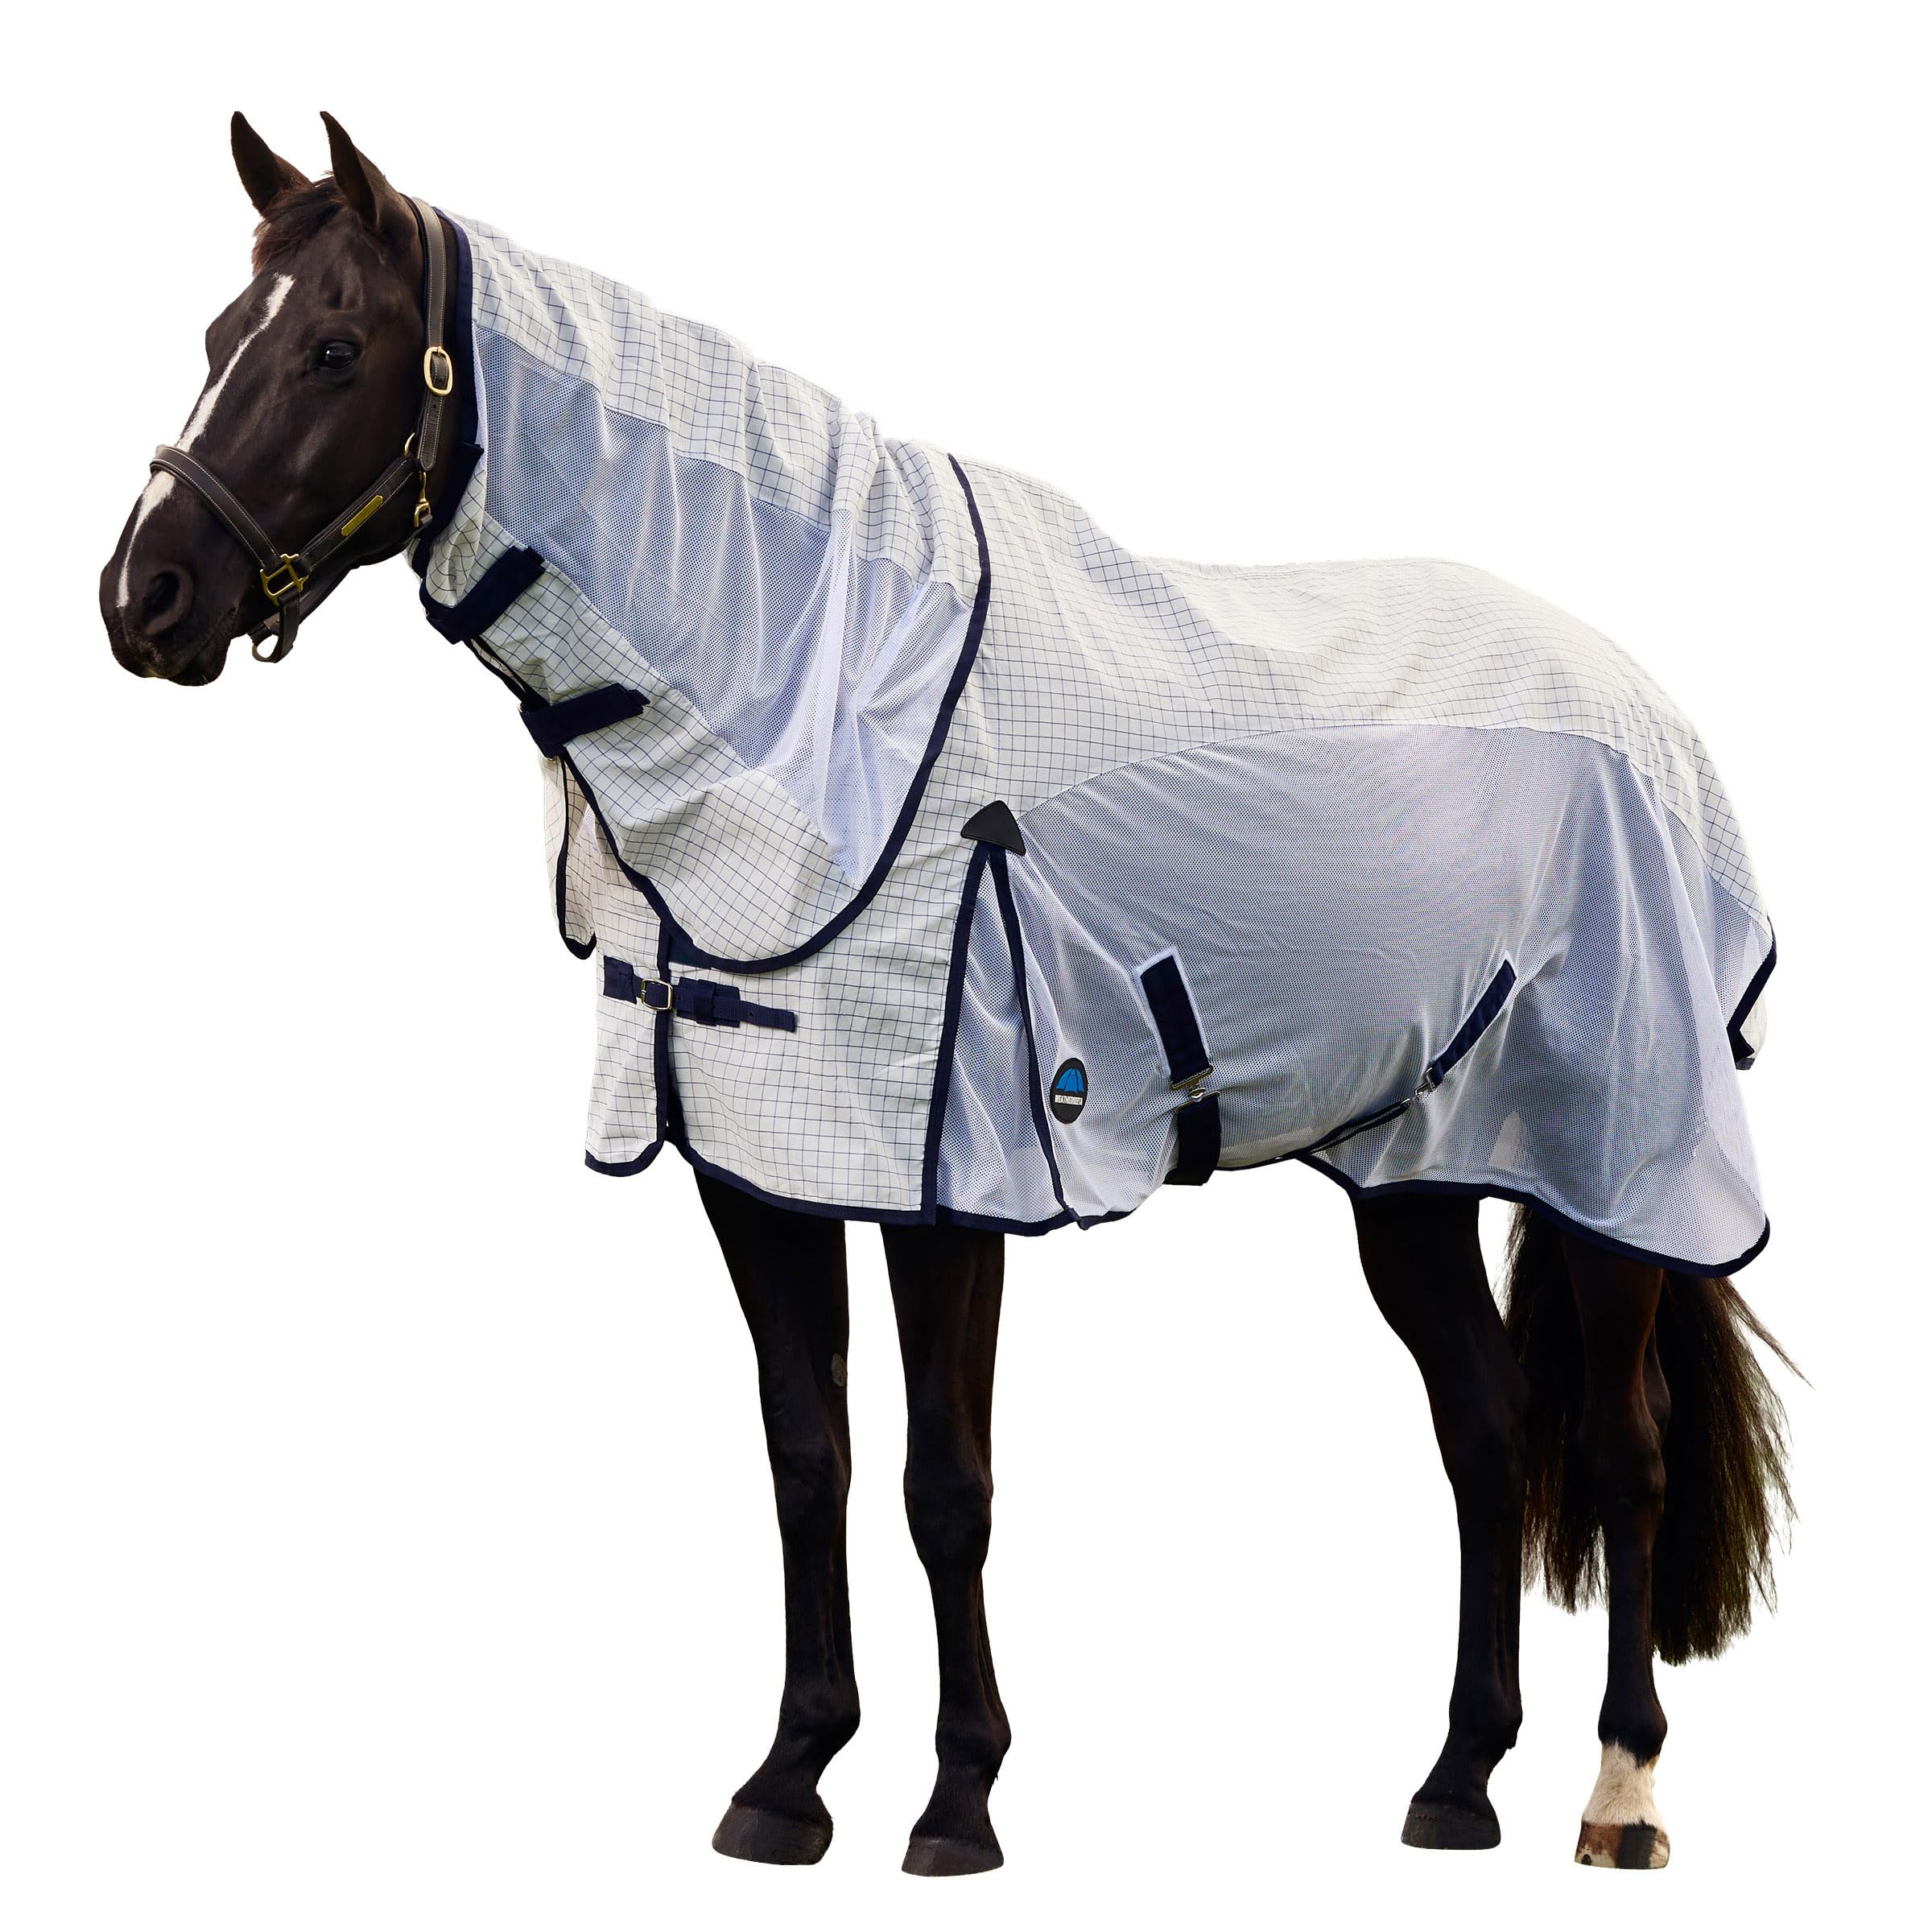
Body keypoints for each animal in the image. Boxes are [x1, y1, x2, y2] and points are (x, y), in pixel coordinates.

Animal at [99, 112, 1794, 1876]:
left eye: (335, 348)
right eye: (219, 342)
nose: (143, 600)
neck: (815, 684)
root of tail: (1641, 702)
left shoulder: (950, 1172)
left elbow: (944, 1486)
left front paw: (959, 1799)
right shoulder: (762, 1155)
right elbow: (809, 1459)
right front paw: (788, 1781)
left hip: (1613, 1163)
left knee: (1623, 1454)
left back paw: (1619, 1795)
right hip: (1419, 1166)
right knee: (1488, 1433)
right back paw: (1455, 1784)